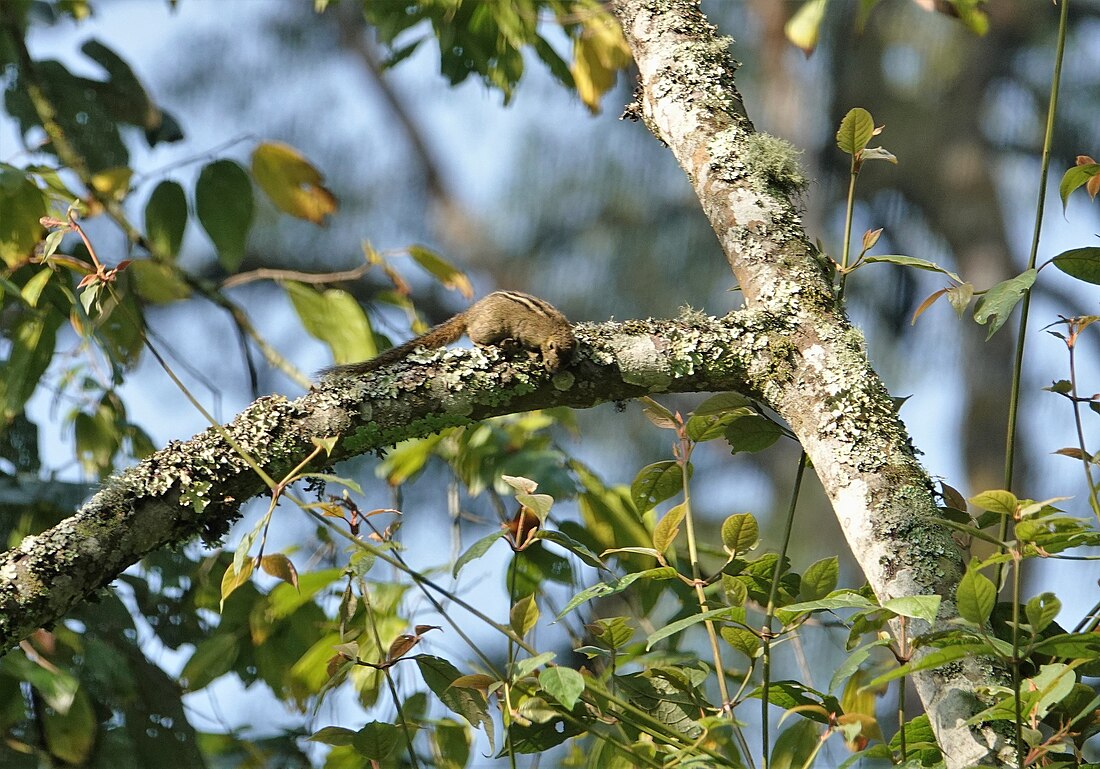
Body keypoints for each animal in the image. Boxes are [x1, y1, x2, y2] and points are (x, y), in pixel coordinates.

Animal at [321, 290, 572, 378]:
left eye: (568, 362)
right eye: (554, 353)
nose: (555, 370)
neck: (554, 330)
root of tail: (470, 313)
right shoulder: (530, 334)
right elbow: (529, 346)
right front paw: (533, 355)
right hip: (489, 327)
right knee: (474, 336)